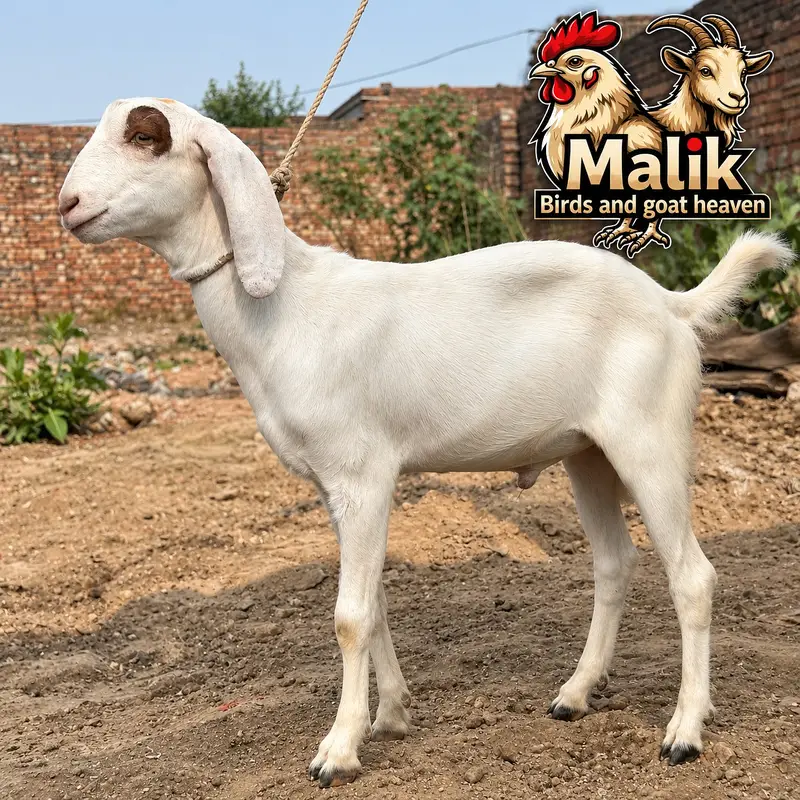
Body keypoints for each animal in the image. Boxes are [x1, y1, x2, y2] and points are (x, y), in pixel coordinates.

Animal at [59, 98, 793, 787]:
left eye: (146, 135)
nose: (68, 205)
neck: (285, 312)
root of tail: (673, 304)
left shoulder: (362, 474)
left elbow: (350, 615)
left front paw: (338, 751)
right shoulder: (335, 486)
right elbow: (376, 604)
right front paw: (391, 715)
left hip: (650, 438)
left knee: (693, 577)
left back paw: (685, 731)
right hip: (587, 452)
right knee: (614, 563)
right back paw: (576, 694)